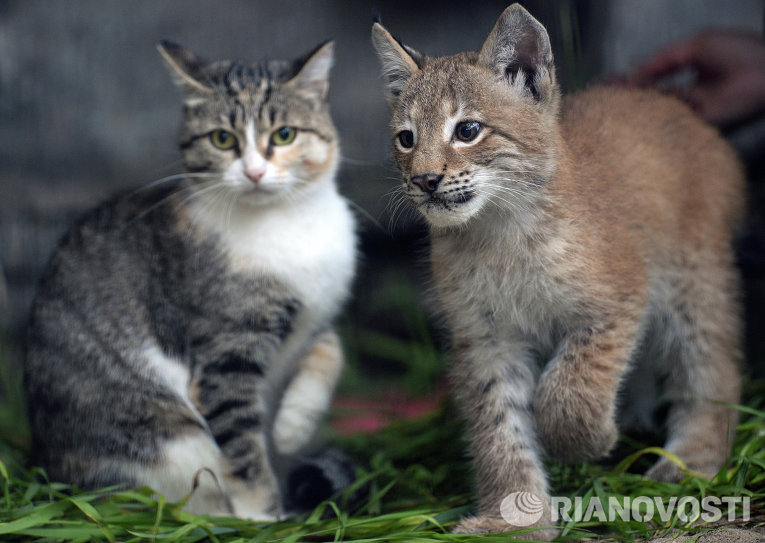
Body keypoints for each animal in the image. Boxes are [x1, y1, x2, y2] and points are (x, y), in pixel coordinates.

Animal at [25, 40, 356, 520]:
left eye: (284, 135)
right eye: (222, 139)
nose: (254, 172)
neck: (287, 223)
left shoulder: (317, 311)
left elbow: (332, 348)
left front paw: (291, 428)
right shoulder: (225, 353)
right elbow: (244, 448)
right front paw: (265, 515)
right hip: (163, 438)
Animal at [374, 4, 744, 536]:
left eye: (467, 131)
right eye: (406, 139)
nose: (424, 180)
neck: (498, 228)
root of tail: (671, 104)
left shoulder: (619, 298)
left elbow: (570, 388)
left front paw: (592, 439)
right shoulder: (485, 337)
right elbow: (498, 426)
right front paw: (513, 519)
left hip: (693, 280)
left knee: (711, 366)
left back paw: (692, 462)